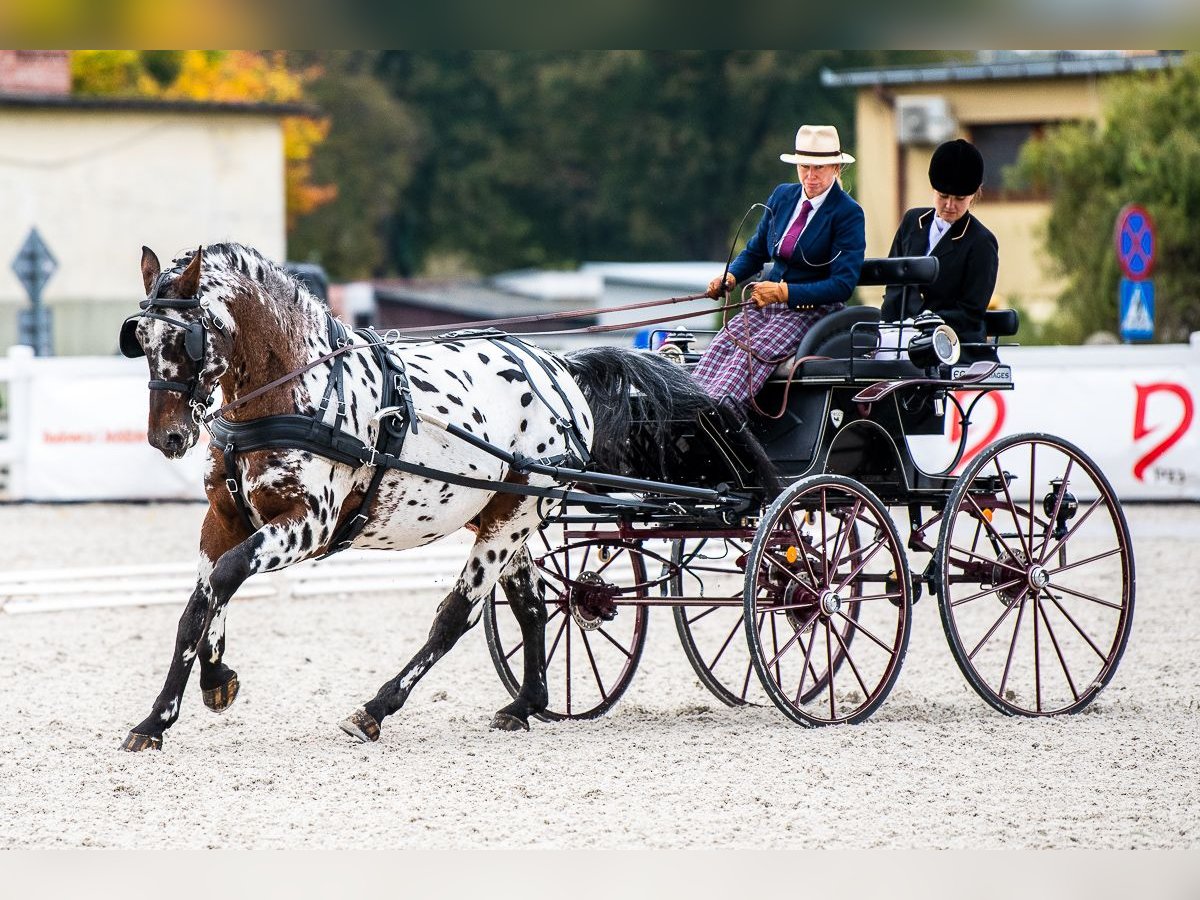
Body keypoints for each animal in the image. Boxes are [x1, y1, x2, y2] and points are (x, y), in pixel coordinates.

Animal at [114, 243, 768, 748]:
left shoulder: (309, 525)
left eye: (186, 340)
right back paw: (525, 704)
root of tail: (560, 369)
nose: (167, 437)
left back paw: (375, 710)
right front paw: (180, 702)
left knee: (457, 614)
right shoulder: (225, 518)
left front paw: (191, 695)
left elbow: (223, 579)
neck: (297, 386)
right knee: (533, 605)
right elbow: (200, 602)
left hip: (513, 520)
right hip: (505, 516)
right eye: (139, 337)